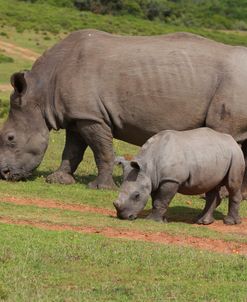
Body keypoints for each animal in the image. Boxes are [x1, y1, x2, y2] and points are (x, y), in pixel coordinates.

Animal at [0, 30, 247, 191]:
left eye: (10, 138)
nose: (4, 174)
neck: (40, 93)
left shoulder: (92, 117)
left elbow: (102, 151)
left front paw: (100, 188)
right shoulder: (77, 115)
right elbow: (72, 150)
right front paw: (59, 180)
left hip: (232, 84)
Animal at [114, 127, 245, 224]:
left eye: (136, 196)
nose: (124, 217)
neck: (148, 165)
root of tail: (233, 141)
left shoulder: (171, 180)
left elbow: (160, 200)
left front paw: (151, 221)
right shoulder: (155, 179)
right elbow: (156, 199)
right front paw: (163, 220)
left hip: (236, 155)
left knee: (232, 185)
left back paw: (229, 222)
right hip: (216, 156)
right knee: (212, 187)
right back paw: (202, 221)